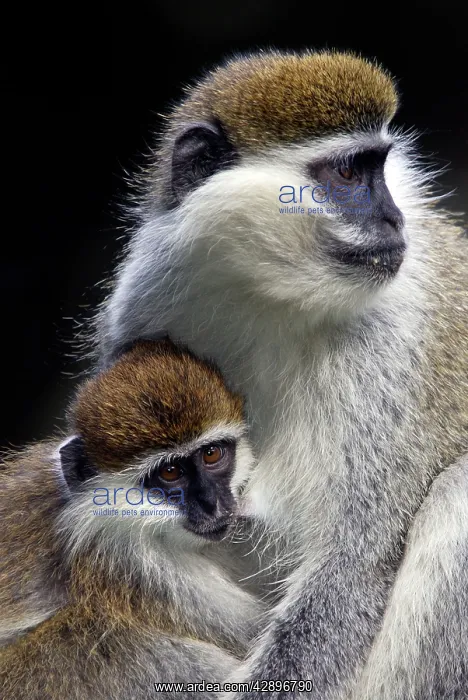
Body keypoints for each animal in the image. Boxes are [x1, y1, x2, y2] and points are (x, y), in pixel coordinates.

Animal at [95, 49, 468, 699]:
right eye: (347, 174)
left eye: (379, 168)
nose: (396, 221)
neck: (277, 298)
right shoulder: (147, 308)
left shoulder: (389, 350)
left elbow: (352, 566)